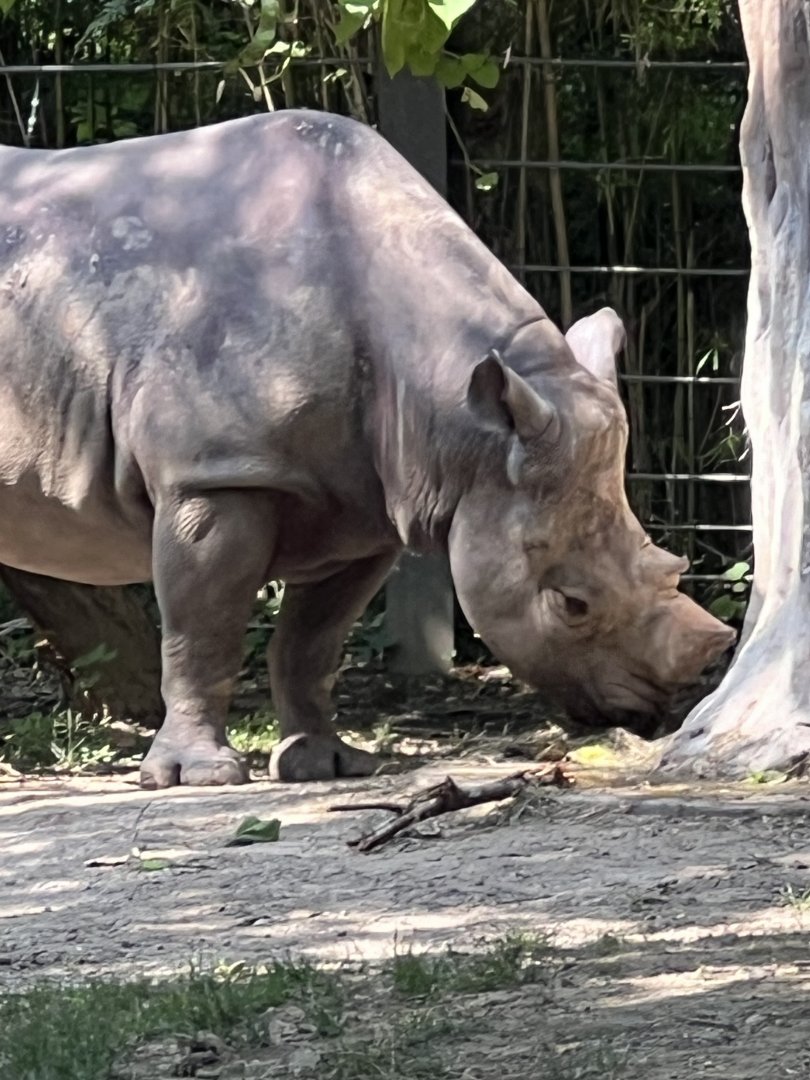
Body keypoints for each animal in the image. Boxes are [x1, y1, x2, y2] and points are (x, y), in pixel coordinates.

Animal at [0, 109, 734, 788]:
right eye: (570, 604)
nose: (663, 710)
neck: (460, 421)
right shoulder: (215, 474)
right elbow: (201, 629)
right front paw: (200, 777)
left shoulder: (360, 503)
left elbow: (313, 643)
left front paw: (326, 766)